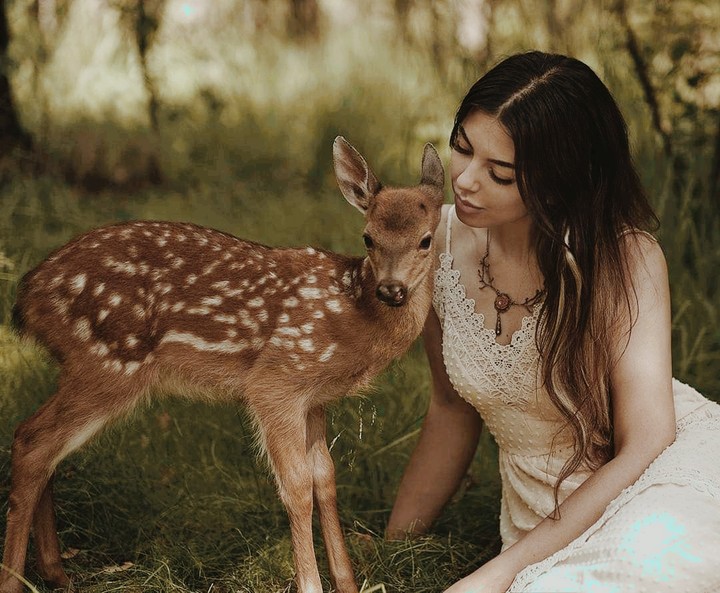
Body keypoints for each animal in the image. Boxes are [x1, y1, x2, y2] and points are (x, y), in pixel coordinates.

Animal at [1, 137, 445, 593]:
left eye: (426, 239)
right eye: (368, 238)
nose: (391, 289)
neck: (354, 314)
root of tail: (28, 296)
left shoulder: (315, 399)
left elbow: (325, 478)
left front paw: (348, 583)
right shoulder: (277, 381)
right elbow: (297, 486)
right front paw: (310, 583)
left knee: (41, 445)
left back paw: (55, 572)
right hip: (107, 364)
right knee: (32, 441)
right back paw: (15, 579)